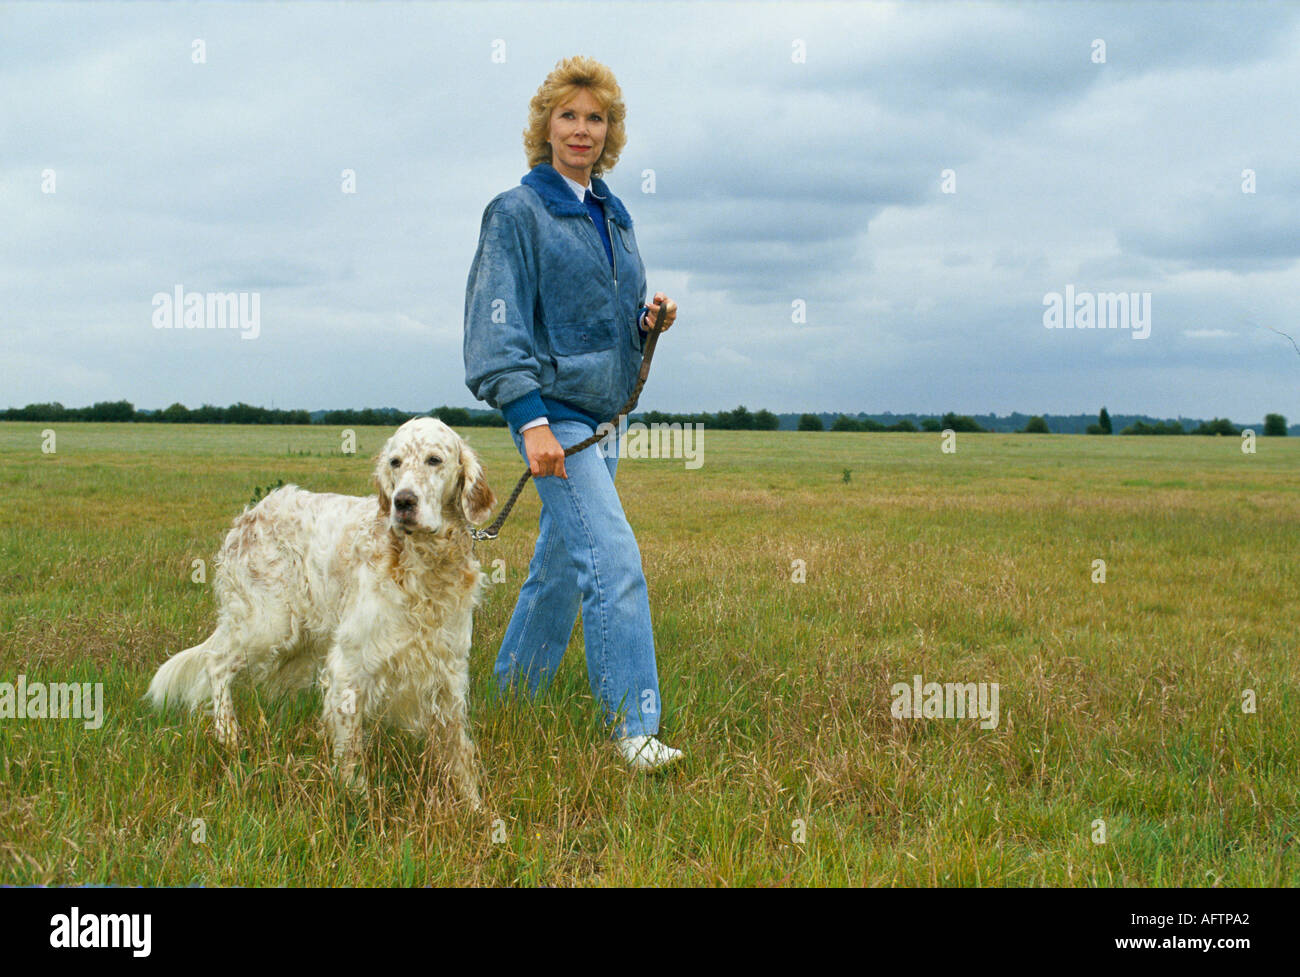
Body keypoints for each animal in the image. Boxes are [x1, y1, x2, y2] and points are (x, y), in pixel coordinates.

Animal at [147, 415, 496, 805]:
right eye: (395, 462)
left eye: (434, 460)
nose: (403, 502)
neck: (423, 568)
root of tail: (251, 515)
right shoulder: (349, 664)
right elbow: (351, 748)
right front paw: (357, 800)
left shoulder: (447, 668)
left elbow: (458, 750)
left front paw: (475, 807)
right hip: (269, 624)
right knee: (216, 661)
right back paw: (229, 734)